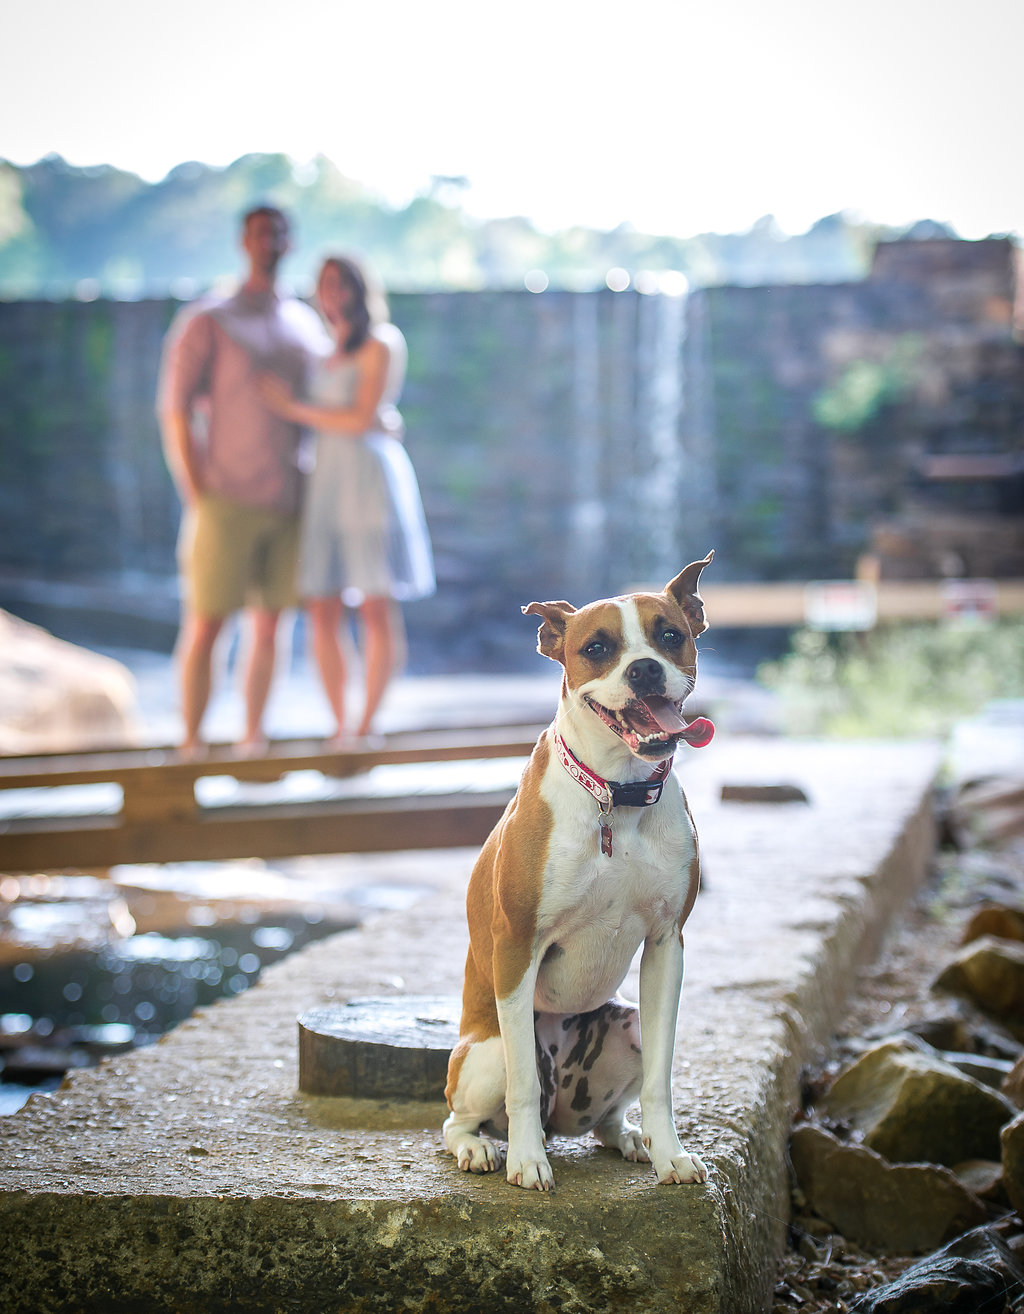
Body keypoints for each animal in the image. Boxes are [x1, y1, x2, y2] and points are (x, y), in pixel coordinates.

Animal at [444, 551, 715, 1193]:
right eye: (597, 647)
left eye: (671, 636)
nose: (644, 669)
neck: (615, 793)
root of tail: (561, 1115)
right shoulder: (517, 946)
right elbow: (522, 1083)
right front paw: (526, 1161)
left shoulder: (666, 945)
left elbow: (661, 1080)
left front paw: (671, 1153)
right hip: (484, 1054)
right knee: (459, 1118)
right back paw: (483, 1148)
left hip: (629, 1026)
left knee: (606, 1120)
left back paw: (633, 1140)